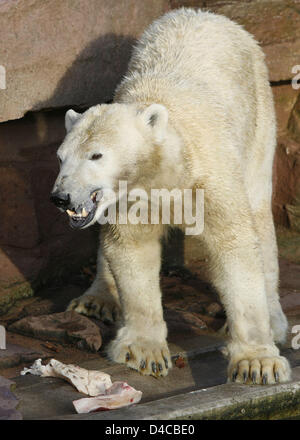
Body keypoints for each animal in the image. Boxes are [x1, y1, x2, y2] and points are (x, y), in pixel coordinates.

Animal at [51, 8, 290, 384]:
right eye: (61, 157)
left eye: (96, 155)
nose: (61, 197)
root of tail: (209, 14)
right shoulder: (131, 199)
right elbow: (132, 250)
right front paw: (144, 352)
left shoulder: (210, 177)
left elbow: (235, 246)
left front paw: (256, 362)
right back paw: (97, 299)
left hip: (259, 118)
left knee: (259, 215)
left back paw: (276, 321)